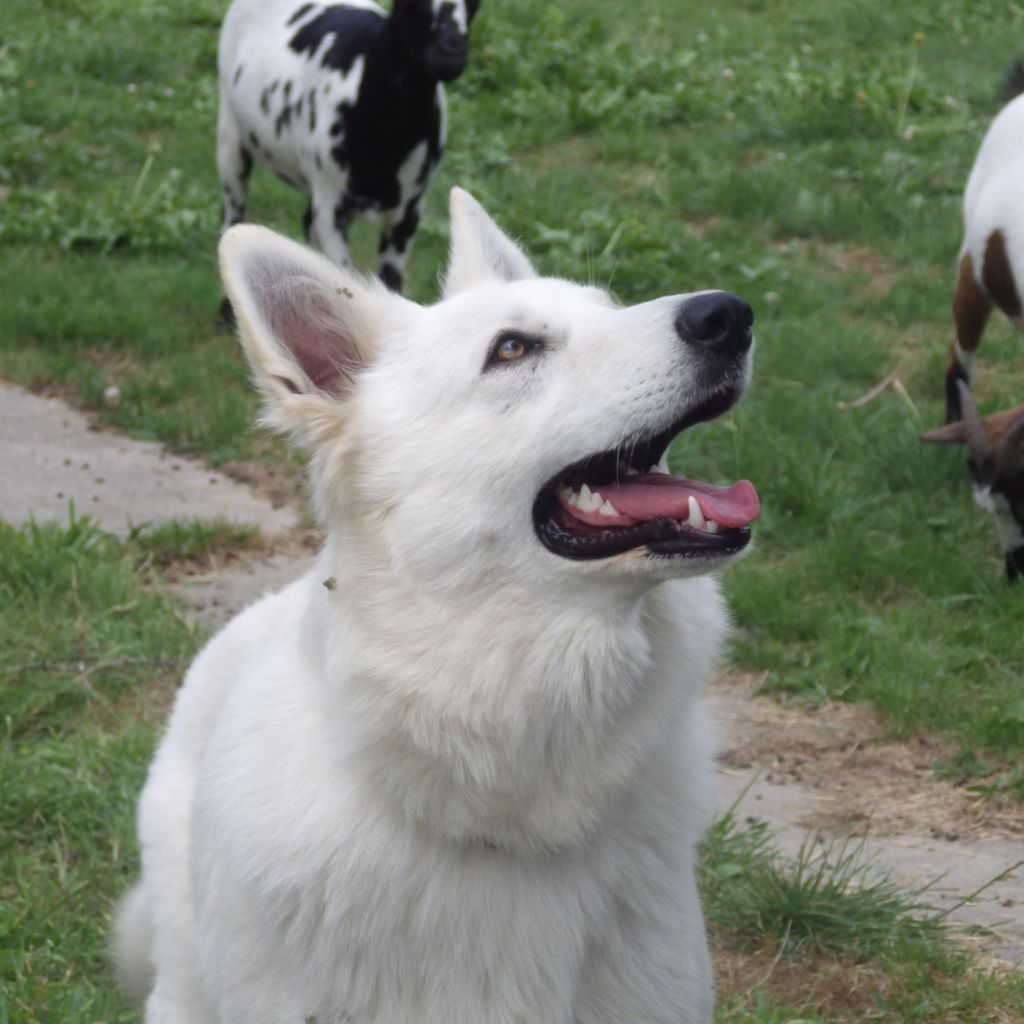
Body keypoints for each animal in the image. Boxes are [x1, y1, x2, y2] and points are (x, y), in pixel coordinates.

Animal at [217, 0, 479, 303]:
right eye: (411, 4)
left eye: (475, 3)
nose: (452, 50)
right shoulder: (332, 205)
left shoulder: (409, 212)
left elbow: (389, 281)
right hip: (231, 130)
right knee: (233, 213)